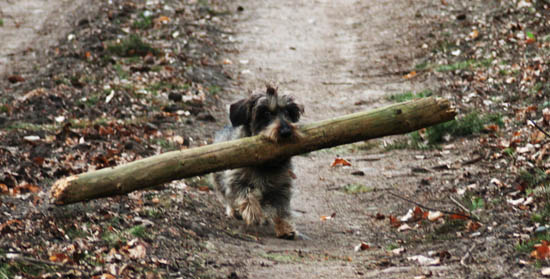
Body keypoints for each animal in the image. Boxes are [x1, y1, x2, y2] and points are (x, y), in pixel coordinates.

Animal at [212, 86, 306, 241]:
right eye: (266, 113)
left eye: (288, 112)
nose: (286, 131)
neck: (265, 164)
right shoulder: (235, 180)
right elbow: (247, 194)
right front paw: (253, 212)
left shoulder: (282, 187)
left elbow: (282, 209)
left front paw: (285, 228)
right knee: (228, 198)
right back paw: (236, 211)